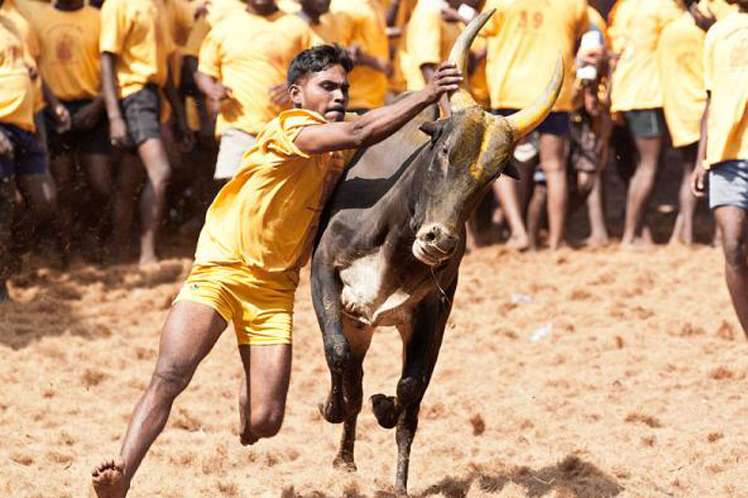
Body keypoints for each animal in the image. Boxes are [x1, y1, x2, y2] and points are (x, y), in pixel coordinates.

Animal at [308, 11, 560, 494]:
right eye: (443, 148)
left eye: (493, 173)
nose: (438, 241)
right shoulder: (325, 275)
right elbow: (338, 354)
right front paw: (333, 406)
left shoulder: (433, 314)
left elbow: (410, 392)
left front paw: (398, 470)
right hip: (356, 319)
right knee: (352, 370)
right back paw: (344, 454)